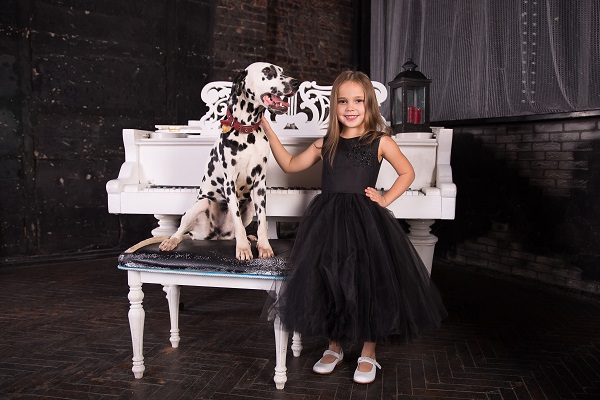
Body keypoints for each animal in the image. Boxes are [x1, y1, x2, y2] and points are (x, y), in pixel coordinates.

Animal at [157, 62, 300, 260]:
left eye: (282, 71)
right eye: (267, 71)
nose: (296, 83)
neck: (248, 131)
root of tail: (214, 235)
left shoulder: (260, 185)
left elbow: (262, 221)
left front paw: (264, 246)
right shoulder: (229, 183)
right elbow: (238, 222)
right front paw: (243, 249)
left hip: (249, 206)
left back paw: (251, 238)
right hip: (200, 205)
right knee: (181, 232)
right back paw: (171, 241)